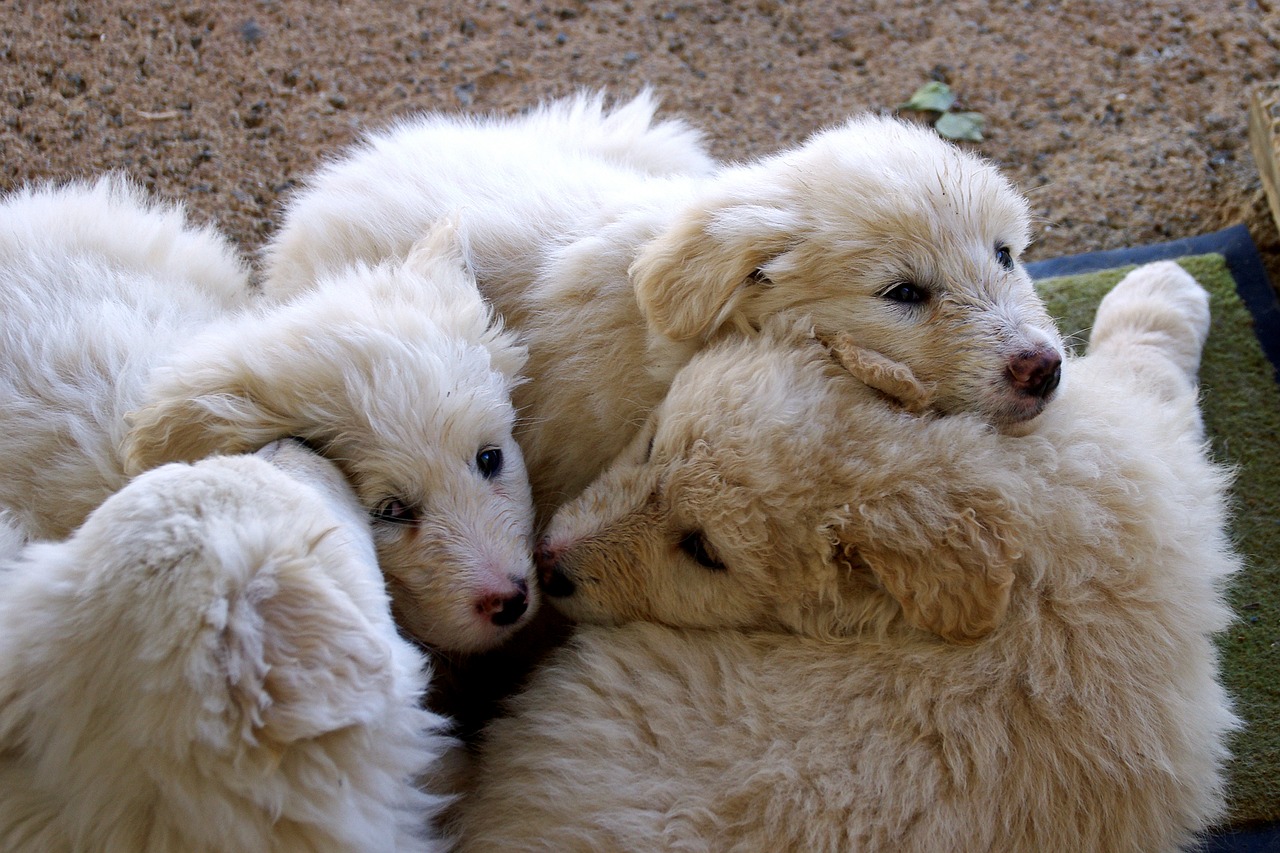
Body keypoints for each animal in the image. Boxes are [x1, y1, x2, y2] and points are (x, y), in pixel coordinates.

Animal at [455, 262, 1244, 845]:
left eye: (703, 551)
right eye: (651, 446)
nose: (550, 564)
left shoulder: (1149, 479)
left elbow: (1147, 373)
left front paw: (1163, 285)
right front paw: (1165, 284)